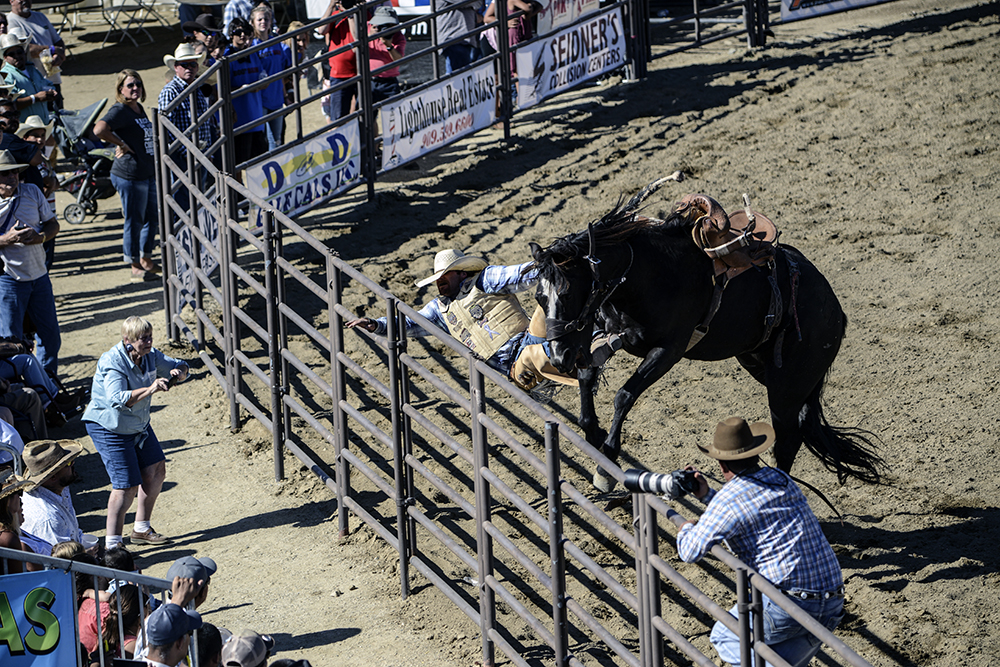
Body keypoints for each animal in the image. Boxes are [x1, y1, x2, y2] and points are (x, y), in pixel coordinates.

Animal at [532, 180, 884, 494]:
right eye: (539, 296)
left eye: (569, 293)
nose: (559, 356)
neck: (648, 272)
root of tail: (835, 312)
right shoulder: (609, 335)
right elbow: (587, 377)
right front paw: (594, 435)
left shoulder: (668, 350)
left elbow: (624, 394)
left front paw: (607, 463)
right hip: (761, 365)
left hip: (787, 386)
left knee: (787, 438)